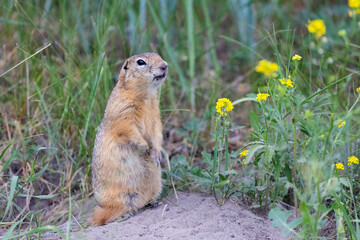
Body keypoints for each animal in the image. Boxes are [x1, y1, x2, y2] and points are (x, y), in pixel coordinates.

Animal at [90, 52, 168, 225]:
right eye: (141, 62)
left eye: (158, 55)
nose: (165, 65)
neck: (146, 96)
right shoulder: (122, 111)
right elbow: (128, 129)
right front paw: (144, 147)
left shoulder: (155, 113)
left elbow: (157, 131)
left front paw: (156, 153)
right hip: (119, 196)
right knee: (104, 216)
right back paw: (124, 215)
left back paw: (153, 202)